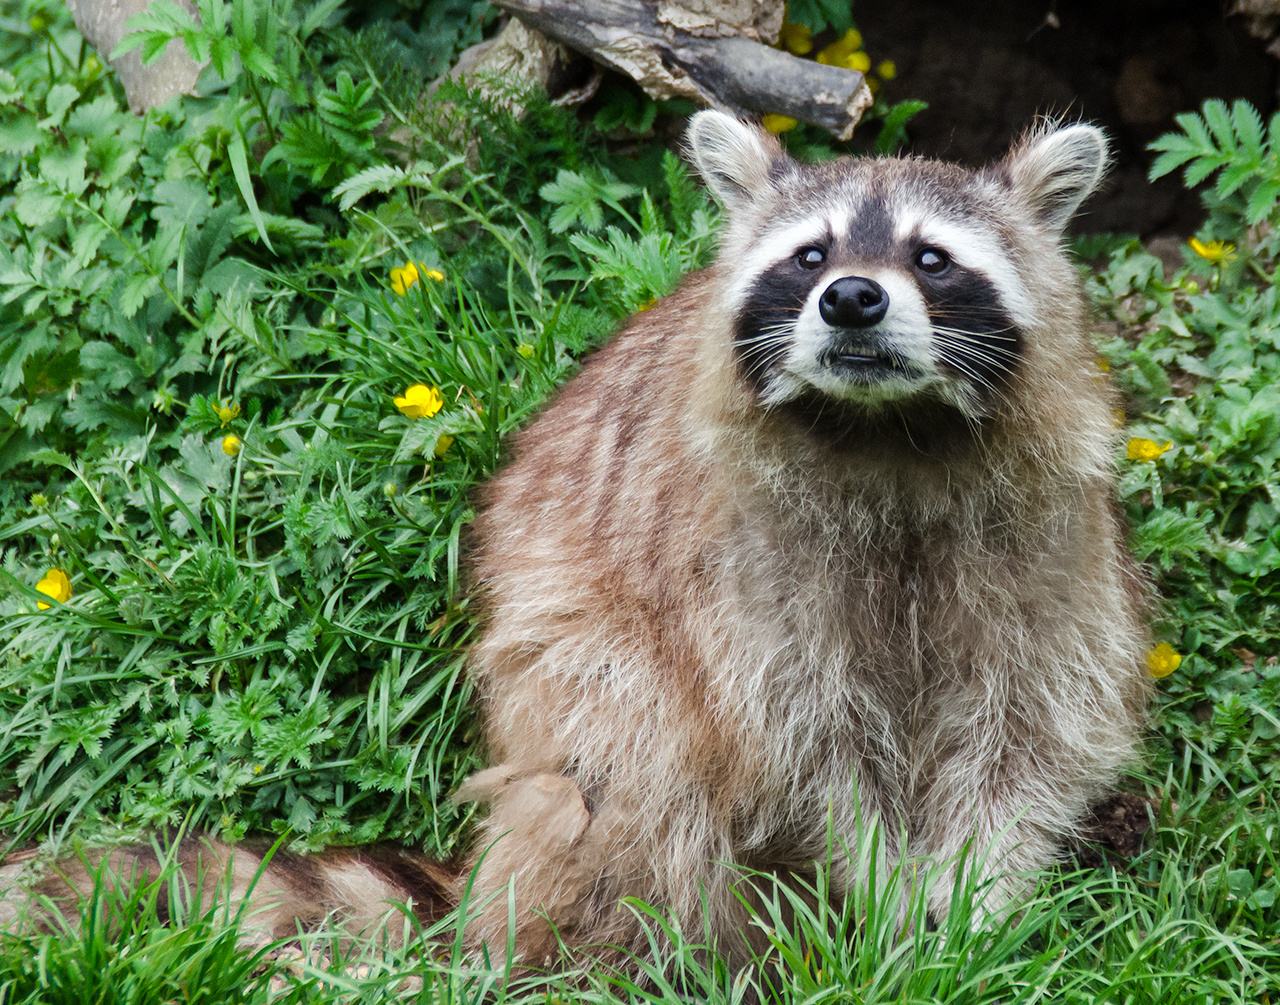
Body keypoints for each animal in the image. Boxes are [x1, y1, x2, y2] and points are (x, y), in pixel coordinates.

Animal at [2, 110, 1152, 962]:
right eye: (809, 254)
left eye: (932, 257)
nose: (854, 298)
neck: (884, 434)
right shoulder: (740, 566)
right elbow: (798, 745)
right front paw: (873, 884)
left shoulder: (1045, 533)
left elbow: (1033, 725)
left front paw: (972, 905)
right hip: (563, 666)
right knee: (633, 753)